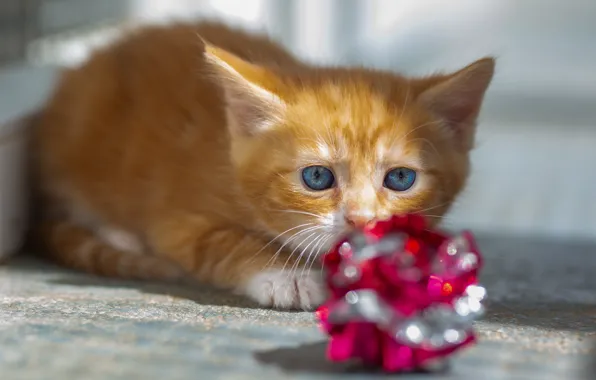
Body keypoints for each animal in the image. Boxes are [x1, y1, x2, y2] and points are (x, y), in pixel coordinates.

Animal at [29, 22, 494, 310]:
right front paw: (290, 276)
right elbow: (227, 243)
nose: (361, 220)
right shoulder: (178, 223)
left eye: (400, 178)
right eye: (317, 177)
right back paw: (120, 236)